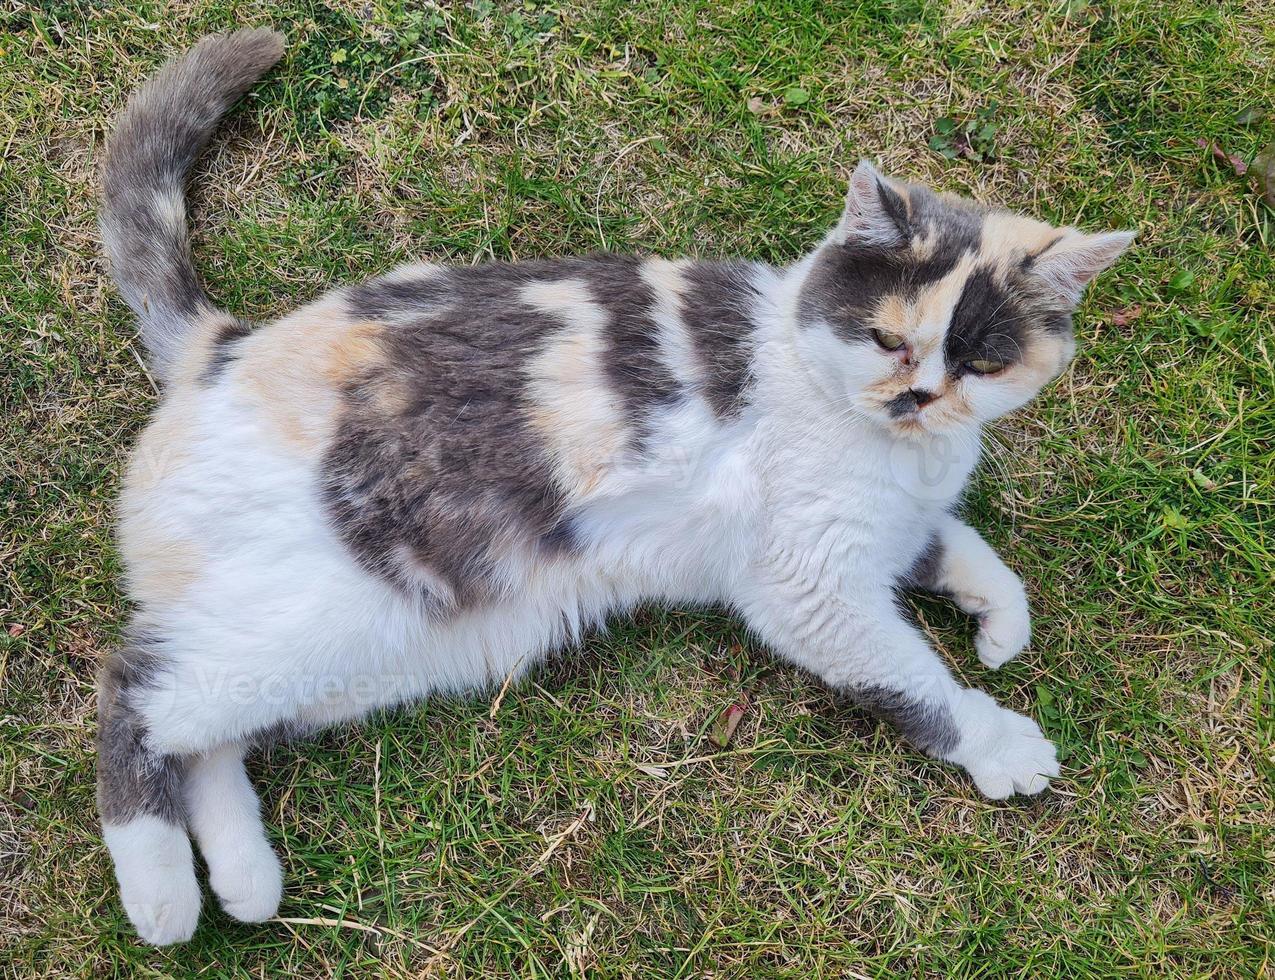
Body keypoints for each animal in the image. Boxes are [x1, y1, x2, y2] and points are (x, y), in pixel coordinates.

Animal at [96, 30, 1137, 943]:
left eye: (980, 362)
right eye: (886, 338)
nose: (916, 396)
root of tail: (219, 347)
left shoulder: (888, 527)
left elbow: (961, 547)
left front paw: (999, 624)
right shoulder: (808, 585)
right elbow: (912, 681)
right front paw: (996, 744)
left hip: (375, 653)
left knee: (201, 726)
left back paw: (244, 877)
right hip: (330, 609)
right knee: (136, 688)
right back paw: (161, 894)